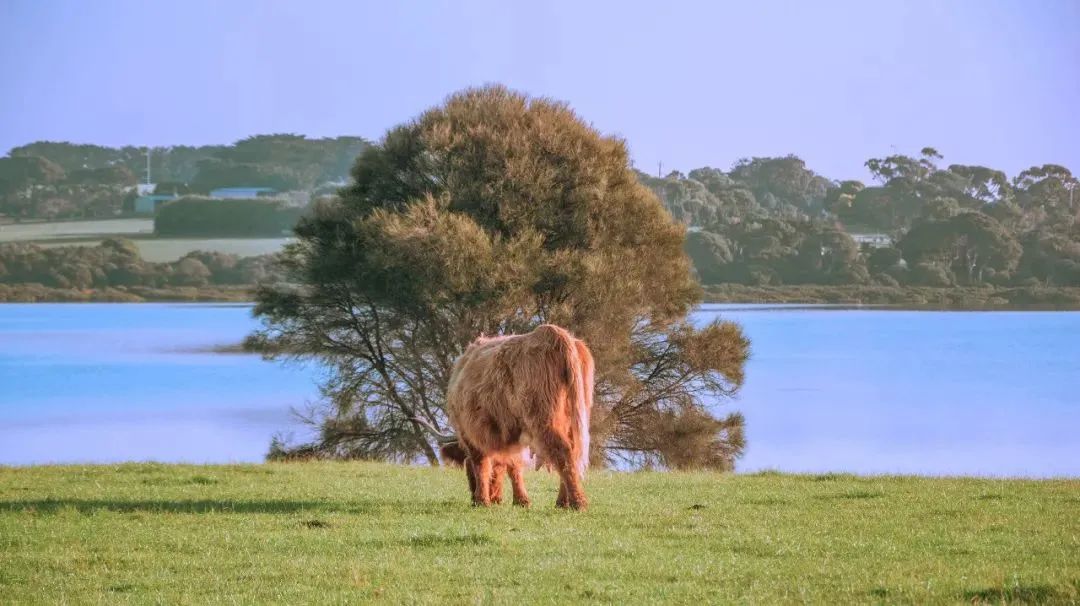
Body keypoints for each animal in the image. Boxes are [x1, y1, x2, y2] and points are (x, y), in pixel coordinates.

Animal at [449, 324, 600, 507]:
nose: (496, 499)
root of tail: (553, 333)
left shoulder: (471, 433)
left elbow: (482, 465)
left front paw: (482, 500)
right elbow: (513, 465)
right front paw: (521, 500)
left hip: (543, 418)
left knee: (562, 451)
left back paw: (578, 503)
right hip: (573, 416)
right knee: (573, 453)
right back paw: (563, 502)